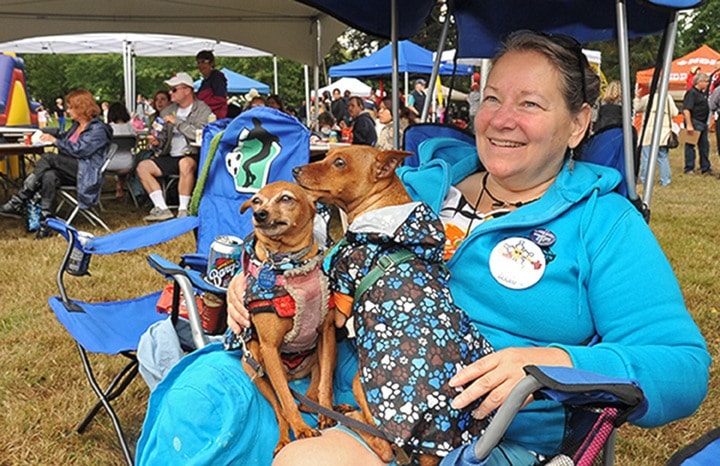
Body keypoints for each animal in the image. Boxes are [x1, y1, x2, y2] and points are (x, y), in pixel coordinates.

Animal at [228, 181, 338, 456]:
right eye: (256, 200)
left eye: (286, 198)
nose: (259, 215)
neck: (291, 264)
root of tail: (292, 376)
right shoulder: (269, 347)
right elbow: (286, 402)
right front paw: (302, 430)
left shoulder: (328, 333)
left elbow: (326, 384)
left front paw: (327, 413)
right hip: (255, 364)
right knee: (281, 410)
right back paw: (283, 440)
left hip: (320, 358)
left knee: (310, 400)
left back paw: (333, 409)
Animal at [292, 147, 496, 466]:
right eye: (326, 156)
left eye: (339, 162)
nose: (296, 170)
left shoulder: (340, 302)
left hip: (360, 382)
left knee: (385, 445)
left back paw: (350, 415)